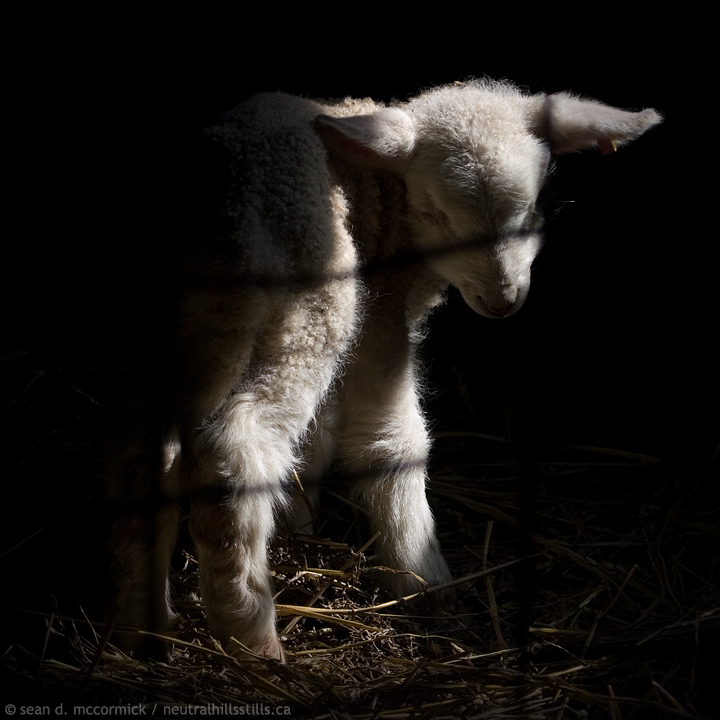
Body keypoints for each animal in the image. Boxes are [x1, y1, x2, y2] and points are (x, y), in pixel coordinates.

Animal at [108, 79, 661, 662]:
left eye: (534, 206)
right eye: (439, 215)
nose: (503, 302)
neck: (390, 201)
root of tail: (224, 207)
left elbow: (320, 438)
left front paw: (301, 528)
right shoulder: (379, 315)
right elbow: (390, 441)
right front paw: (423, 585)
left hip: (180, 327)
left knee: (143, 456)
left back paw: (141, 626)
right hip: (313, 313)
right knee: (235, 450)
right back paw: (250, 633)